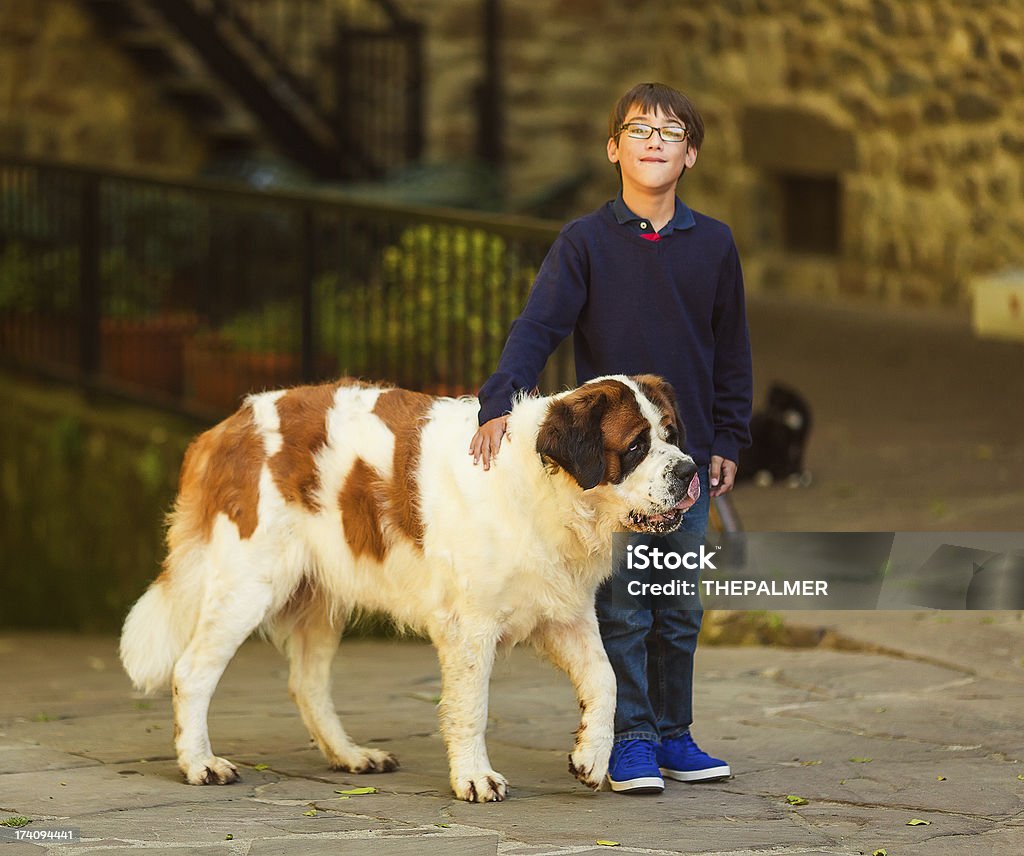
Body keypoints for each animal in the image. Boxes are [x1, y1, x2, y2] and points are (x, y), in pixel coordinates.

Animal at [117, 374, 696, 802]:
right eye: (636, 446)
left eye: (672, 435)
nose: (690, 470)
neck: (543, 487)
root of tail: (224, 428)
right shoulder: (470, 628)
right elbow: (472, 706)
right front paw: (474, 777)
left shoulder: (562, 613)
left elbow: (605, 679)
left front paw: (590, 757)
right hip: (248, 584)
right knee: (192, 672)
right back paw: (200, 764)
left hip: (318, 600)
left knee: (306, 684)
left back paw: (350, 755)